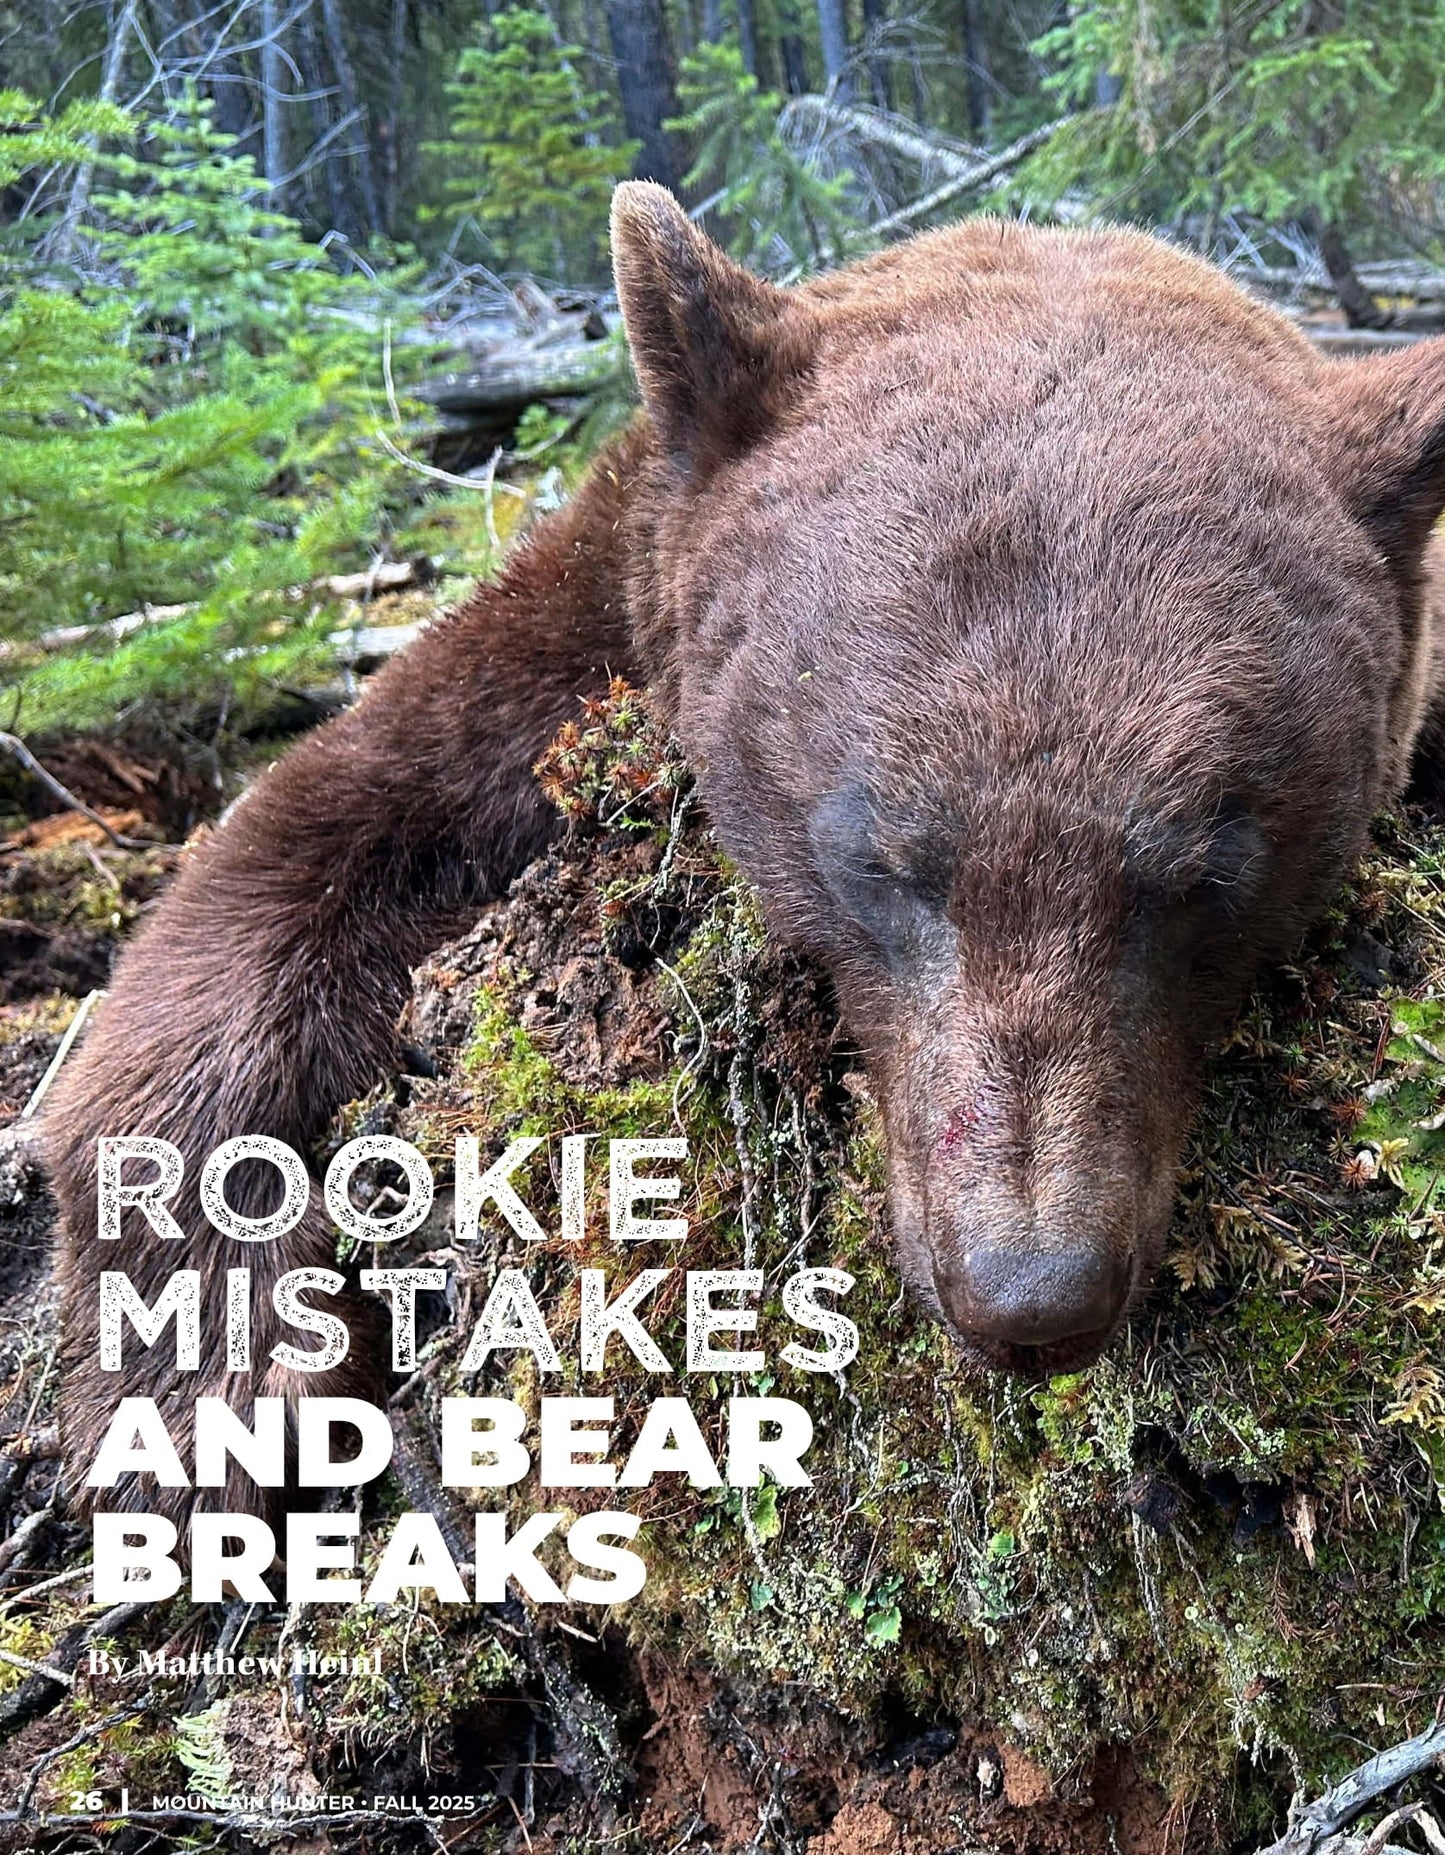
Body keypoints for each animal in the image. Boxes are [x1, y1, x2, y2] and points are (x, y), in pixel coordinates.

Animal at [43, 183, 1445, 1530]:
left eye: (1205, 879)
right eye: (876, 862)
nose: (1031, 1293)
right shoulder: (593, 619)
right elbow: (321, 836)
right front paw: (206, 1396)